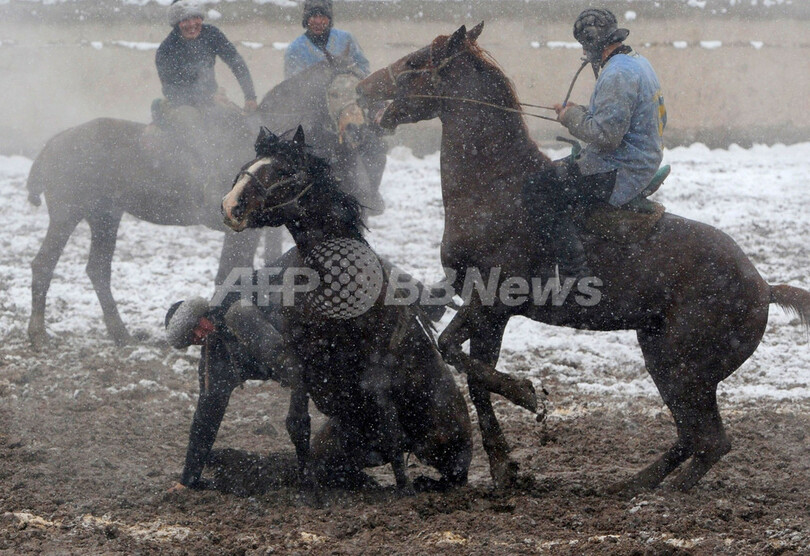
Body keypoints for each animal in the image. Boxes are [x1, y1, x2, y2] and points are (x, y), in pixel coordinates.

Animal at [26, 58, 386, 348]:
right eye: (335, 93)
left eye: (360, 93)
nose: (358, 131)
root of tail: (53, 144)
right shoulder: (240, 230)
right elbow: (228, 273)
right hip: (67, 216)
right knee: (44, 265)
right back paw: (39, 335)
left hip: (105, 217)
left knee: (98, 270)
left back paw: (121, 335)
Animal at [179, 126, 471, 493]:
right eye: (248, 166)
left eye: (283, 172)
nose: (230, 206)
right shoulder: (299, 359)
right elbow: (297, 423)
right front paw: (308, 485)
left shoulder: (375, 367)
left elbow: (392, 433)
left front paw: (403, 490)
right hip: (337, 440)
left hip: (443, 439)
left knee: (448, 468)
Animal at [356, 22, 810, 494]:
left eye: (415, 60)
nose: (362, 88)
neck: (496, 186)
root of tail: (763, 286)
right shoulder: (486, 310)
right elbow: (474, 376)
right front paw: (503, 467)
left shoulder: (493, 304)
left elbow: (454, 352)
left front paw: (526, 395)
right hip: (660, 354)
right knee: (693, 436)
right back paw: (635, 483)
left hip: (684, 366)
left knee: (710, 440)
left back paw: (665, 492)